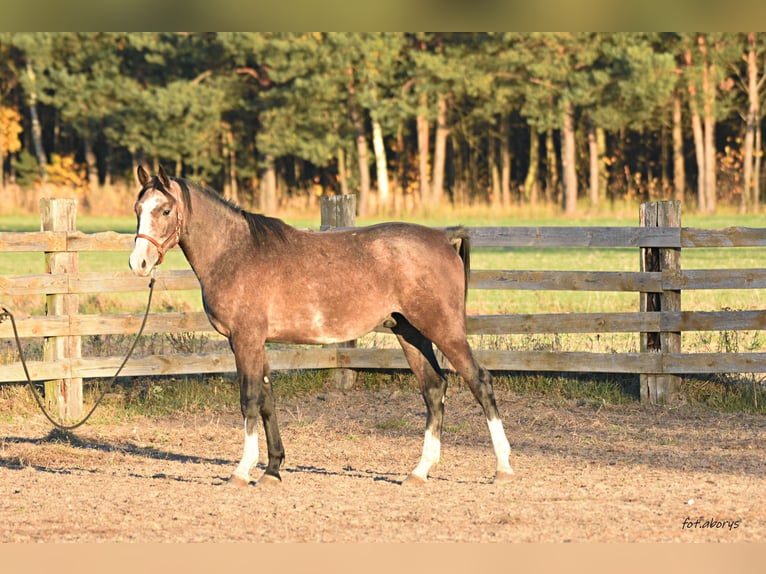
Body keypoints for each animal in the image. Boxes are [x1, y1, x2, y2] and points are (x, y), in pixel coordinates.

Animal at [129, 165, 516, 486]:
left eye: (164, 210)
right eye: (137, 210)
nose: (138, 264)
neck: (235, 252)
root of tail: (443, 239)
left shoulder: (245, 340)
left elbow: (249, 399)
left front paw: (242, 471)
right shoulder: (257, 343)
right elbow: (267, 400)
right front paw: (273, 470)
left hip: (444, 330)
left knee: (480, 382)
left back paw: (502, 468)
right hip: (410, 333)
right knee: (434, 389)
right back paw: (419, 472)